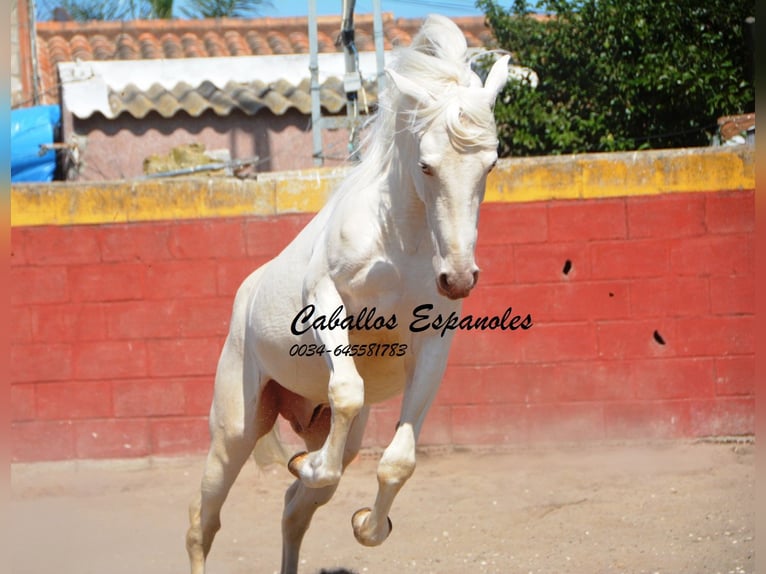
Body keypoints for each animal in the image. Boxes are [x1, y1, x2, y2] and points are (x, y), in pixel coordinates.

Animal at [186, 14, 510, 574]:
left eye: (490, 164)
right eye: (426, 165)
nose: (458, 278)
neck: (402, 242)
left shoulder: (433, 344)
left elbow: (398, 461)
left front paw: (366, 525)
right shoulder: (326, 299)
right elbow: (348, 390)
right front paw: (311, 466)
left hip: (337, 434)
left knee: (294, 510)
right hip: (234, 431)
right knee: (203, 522)